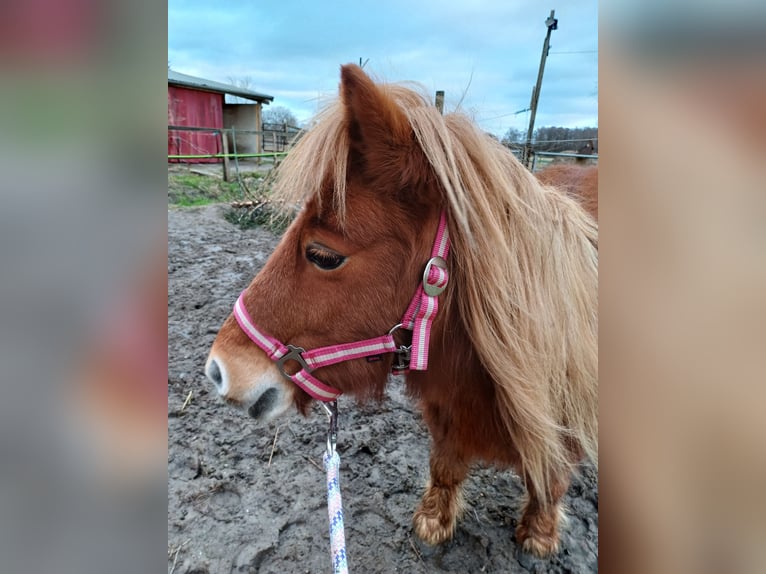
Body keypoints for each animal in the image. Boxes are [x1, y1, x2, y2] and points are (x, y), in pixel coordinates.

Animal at [206, 65, 600, 560]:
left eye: (324, 255)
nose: (217, 370)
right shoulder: (447, 410)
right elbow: (446, 464)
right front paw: (433, 522)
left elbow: (552, 477)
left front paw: (540, 535)